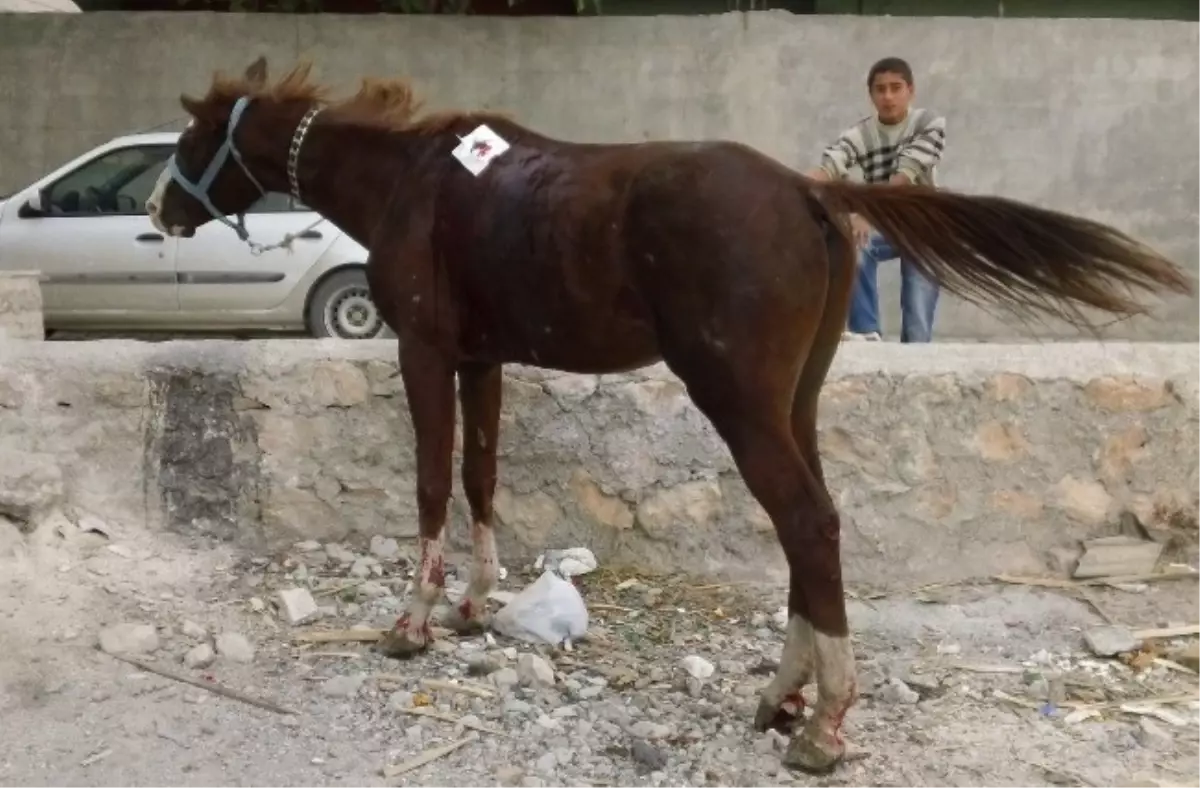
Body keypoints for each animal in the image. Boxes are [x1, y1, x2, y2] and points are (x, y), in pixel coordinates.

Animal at [150, 58, 1190, 772]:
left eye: (192, 141)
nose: (159, 213)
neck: (416, 180)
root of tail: (810, 191)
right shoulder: (482, 360)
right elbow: (481, 474)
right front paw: (475, 605)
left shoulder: (426, 355)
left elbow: (432, 485)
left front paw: (413, 621)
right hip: (795, 400)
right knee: (813, 524)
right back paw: (783, 696)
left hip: (736, 398)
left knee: (806, 522)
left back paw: (822, 725)